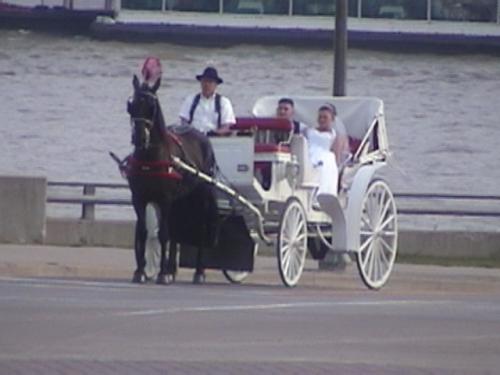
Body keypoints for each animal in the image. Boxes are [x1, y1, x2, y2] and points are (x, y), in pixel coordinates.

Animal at [124, 75, 217, 284]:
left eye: (152, 106)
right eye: (131, 105)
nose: (139, 138)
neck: (150, 158)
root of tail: (203, 137)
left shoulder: (165, 199)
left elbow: (163, 234)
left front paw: (161, 274)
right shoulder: (139, 199)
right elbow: (144, 232)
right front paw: (140, 271)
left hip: (202, 196)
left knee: (200, 229)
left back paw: (199, 272)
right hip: (179, 200)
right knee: (176, 230)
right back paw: (171, 270)